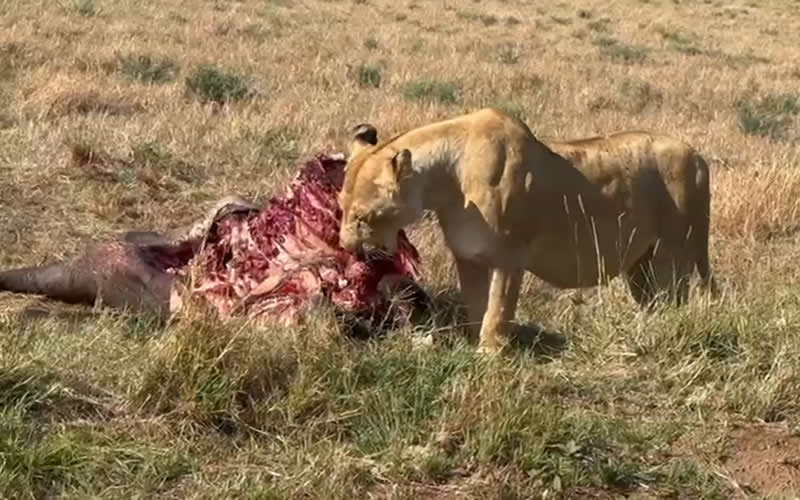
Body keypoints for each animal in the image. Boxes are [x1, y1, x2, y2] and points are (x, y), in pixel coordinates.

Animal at [338, 108, 716, 354]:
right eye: (340, 206)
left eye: (362, 217)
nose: (345, 249)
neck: (447, 181)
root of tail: (698, 157)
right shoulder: (468, 258)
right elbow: (476, 306)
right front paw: (471, 345)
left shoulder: (509, 258)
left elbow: (497, 313)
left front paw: (489, 356)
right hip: (639, 265)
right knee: (651, 302)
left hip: (672, 256)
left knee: (672, 304)